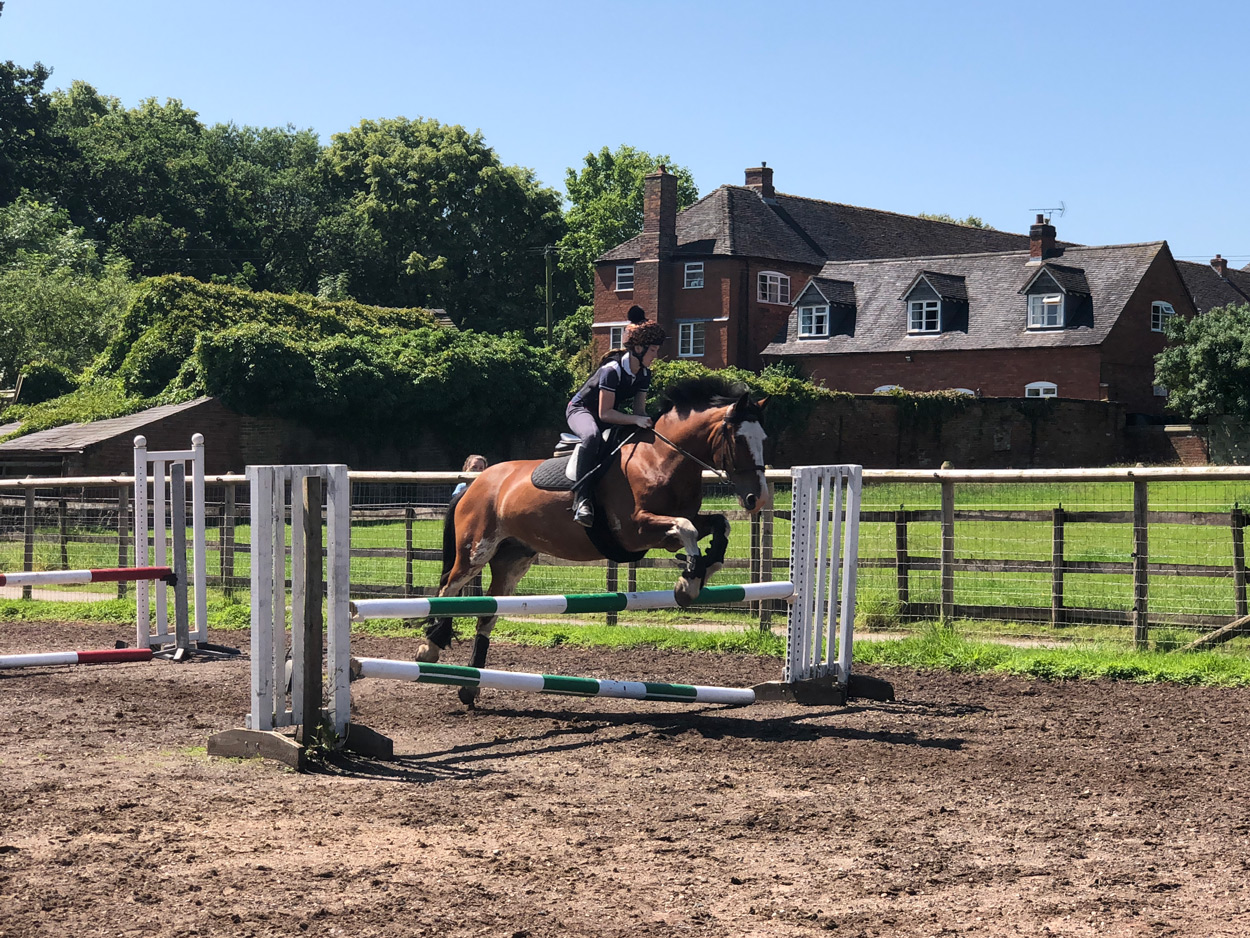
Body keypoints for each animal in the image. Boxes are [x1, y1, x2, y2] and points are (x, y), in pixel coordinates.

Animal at [420, 375, 770, 705]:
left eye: (763, 439)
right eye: (739, 439)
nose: (758, 499)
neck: (661, 458)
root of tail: (476, 483)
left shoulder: (670, 528)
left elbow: (717, 525)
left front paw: (700, 571)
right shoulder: (635, 530)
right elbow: (687, 529)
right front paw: (690, 579)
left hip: (514, 558)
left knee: (487, 613)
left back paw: (469, 687)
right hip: (476, 550)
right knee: (448, 589)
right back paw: (429, 649)